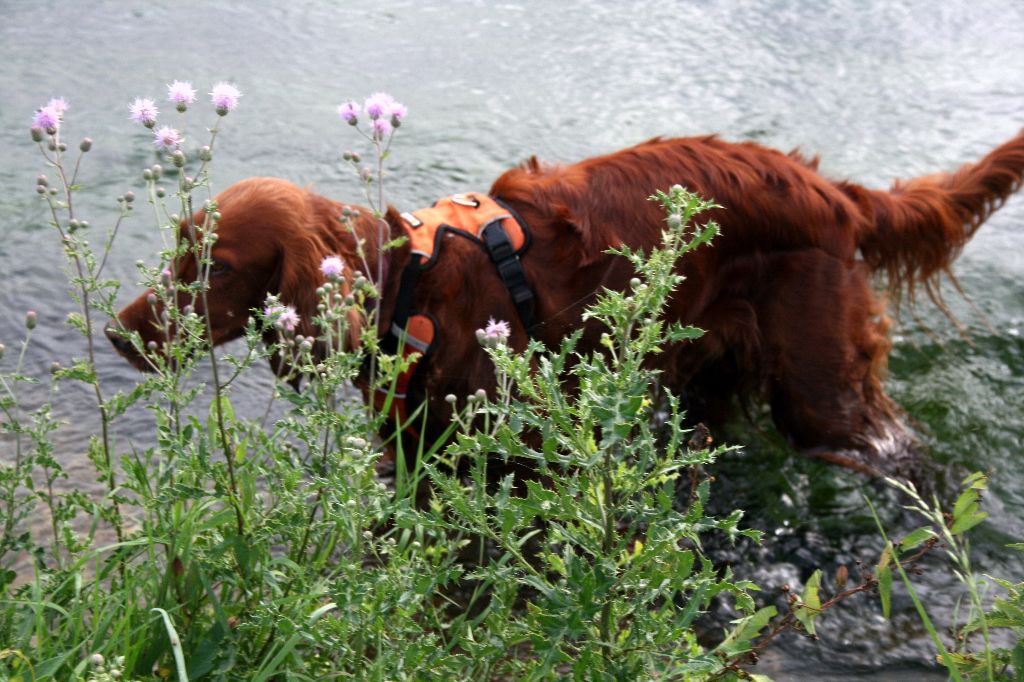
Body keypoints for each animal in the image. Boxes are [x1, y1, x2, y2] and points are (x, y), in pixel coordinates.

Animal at [112, 131, 1024, 473]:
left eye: (213, 266)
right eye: (177, 248)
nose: (119, 336)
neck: (408, 282)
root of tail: (838, 195)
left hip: (822, 392)